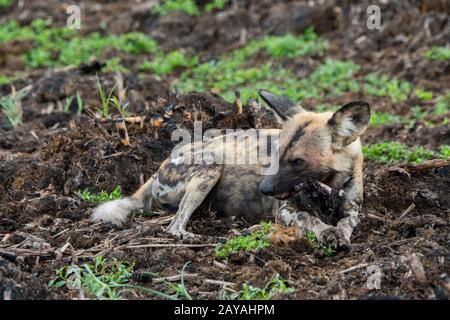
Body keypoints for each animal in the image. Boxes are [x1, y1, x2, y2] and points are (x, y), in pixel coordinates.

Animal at [91, 90, 370, 248]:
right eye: (277, 154)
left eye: (298, 161)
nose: (264, 188)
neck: (327, 188)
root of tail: (161, 165)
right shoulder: (286, 211)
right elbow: (311, 219)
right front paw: (327, 232)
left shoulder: (352, 211)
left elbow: (345, 224)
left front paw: (339, 233)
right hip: (210, 165)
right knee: (174, 226)